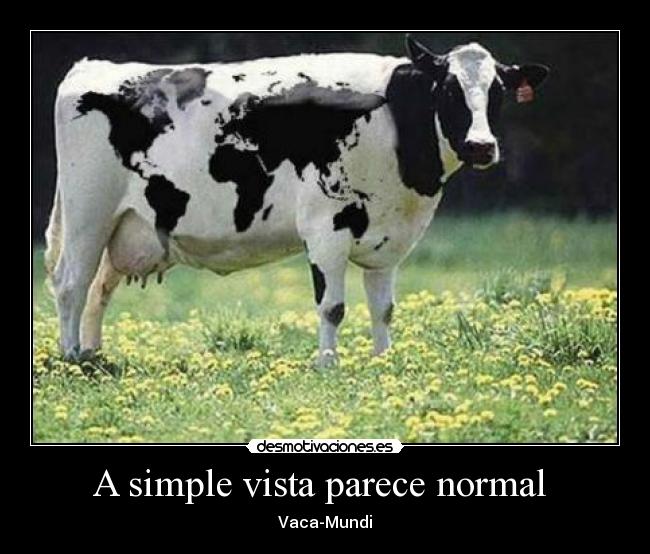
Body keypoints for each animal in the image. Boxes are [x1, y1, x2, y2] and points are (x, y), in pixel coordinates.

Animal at [44, 35, 548, 366]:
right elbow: (333, 306)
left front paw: (383, 361)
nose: (481, 146)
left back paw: (93, 356)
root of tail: (92, 66)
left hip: (125, 225)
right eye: (447, 89)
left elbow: (383, 308)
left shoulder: (388, 239)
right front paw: (327, 364)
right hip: (88, 214)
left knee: (98, 289)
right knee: (71, 284)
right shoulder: (327, 226)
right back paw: (70, 358)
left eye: (498, 92)